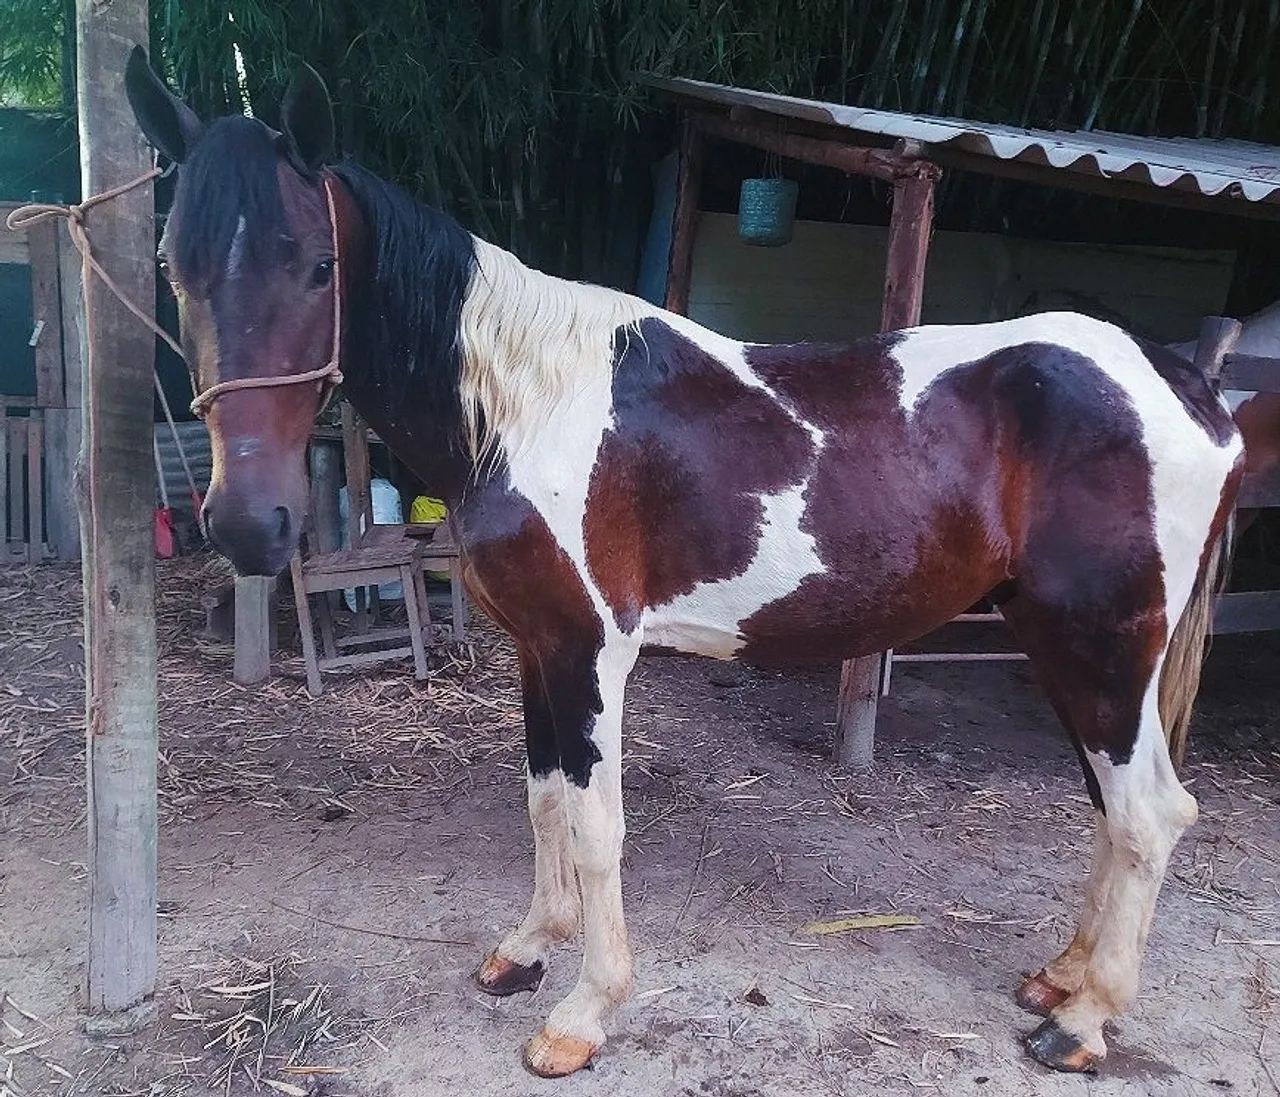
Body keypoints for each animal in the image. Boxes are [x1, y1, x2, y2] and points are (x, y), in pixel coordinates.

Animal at [125, 51, 1244, 1079]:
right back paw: (1060, 975)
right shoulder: (537, 648)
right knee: (1109, 806)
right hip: (1064, 643)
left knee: (1149, 812)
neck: (526, 407)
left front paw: (581, 1015)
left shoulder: (590, 653)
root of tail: (1186, 380)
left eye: (316, 266)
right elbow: (542, 801)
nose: (249, 524)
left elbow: (595, 826)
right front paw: (526, 949)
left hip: (1101, 643)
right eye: (175, 269)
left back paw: (1082, 1023)